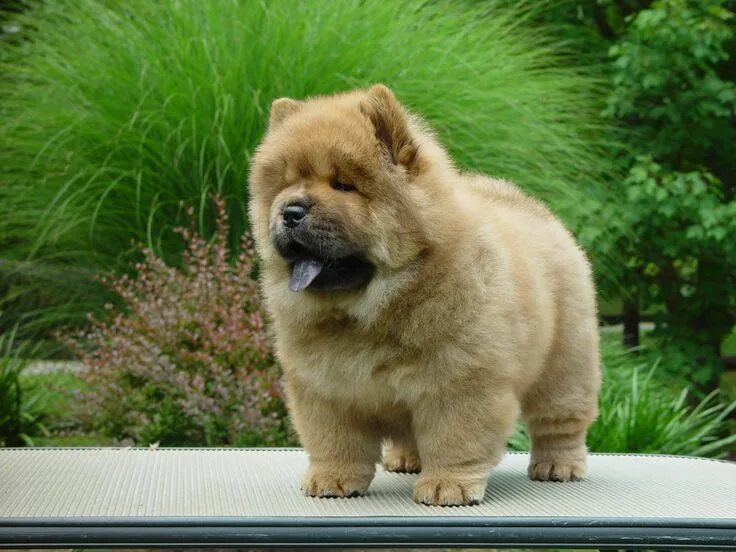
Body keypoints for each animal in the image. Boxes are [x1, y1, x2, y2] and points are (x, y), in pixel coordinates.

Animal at [247, 85, 604, 504]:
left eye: (341, 185)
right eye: (284, 185)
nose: (290, 211)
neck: (363, 312)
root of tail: (537, 210)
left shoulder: (460, 379)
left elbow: (455, 437)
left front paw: (447, 485)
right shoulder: (324, 386)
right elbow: (335, 440)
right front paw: (332, 478)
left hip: (564, 364)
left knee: (560, 421)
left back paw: (557, 466)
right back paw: (406, 459)